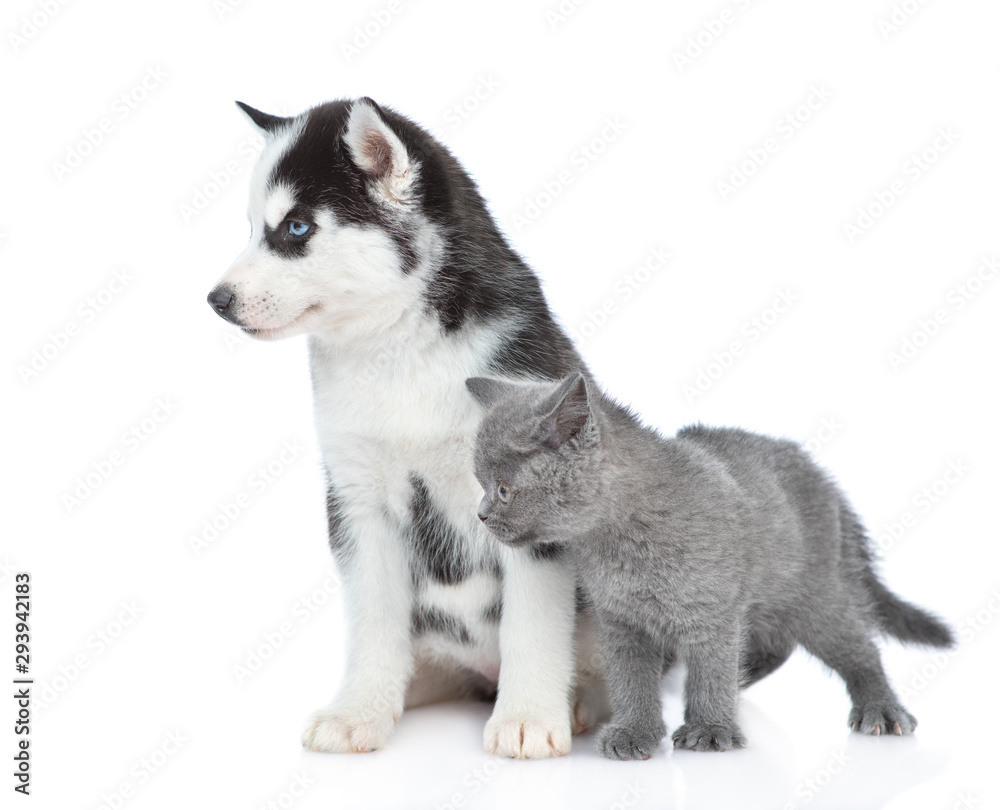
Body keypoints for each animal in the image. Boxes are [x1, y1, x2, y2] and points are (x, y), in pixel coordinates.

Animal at [466, 372, 952, 756]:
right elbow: (630, 679)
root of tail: (823, 477)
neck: (618, 541)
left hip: (812, 594)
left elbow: (712, 669)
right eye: (481, 484)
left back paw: (882, 710)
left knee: (858, 645)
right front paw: (634, 732)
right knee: (774, 643)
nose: (482, 515)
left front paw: (710, 730)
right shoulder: (621, 621)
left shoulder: (711, 611)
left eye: (504, 490)